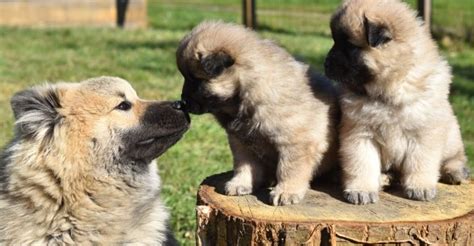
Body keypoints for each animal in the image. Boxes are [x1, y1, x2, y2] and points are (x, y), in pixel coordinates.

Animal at [176, 21, 338, 206]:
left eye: (195, 80)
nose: (182, 102)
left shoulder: (295, 142)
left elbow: (289, 169)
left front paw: (286, 191)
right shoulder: (242, 142)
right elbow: (244, 166)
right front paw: (241, 183)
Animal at [324, 0, 468, 204]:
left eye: (349, 46)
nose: (325, 63)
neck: (388, 90)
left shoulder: (424, 135)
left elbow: (421, 163)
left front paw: (420, 187)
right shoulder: (360, 134)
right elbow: (362, 164)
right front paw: (361, 190)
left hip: (451, 134)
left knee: (455, 156)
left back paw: (454, 171)